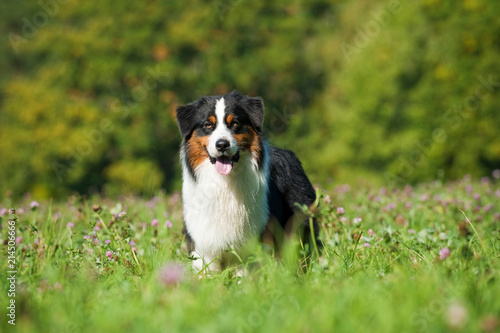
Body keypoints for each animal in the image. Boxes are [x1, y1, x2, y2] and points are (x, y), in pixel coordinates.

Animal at [176, 89, 316, 272]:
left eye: (235, 123)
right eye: (207, 125)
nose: (222, 144)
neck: (225, 183)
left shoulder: (254, 240)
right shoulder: (202, 242)